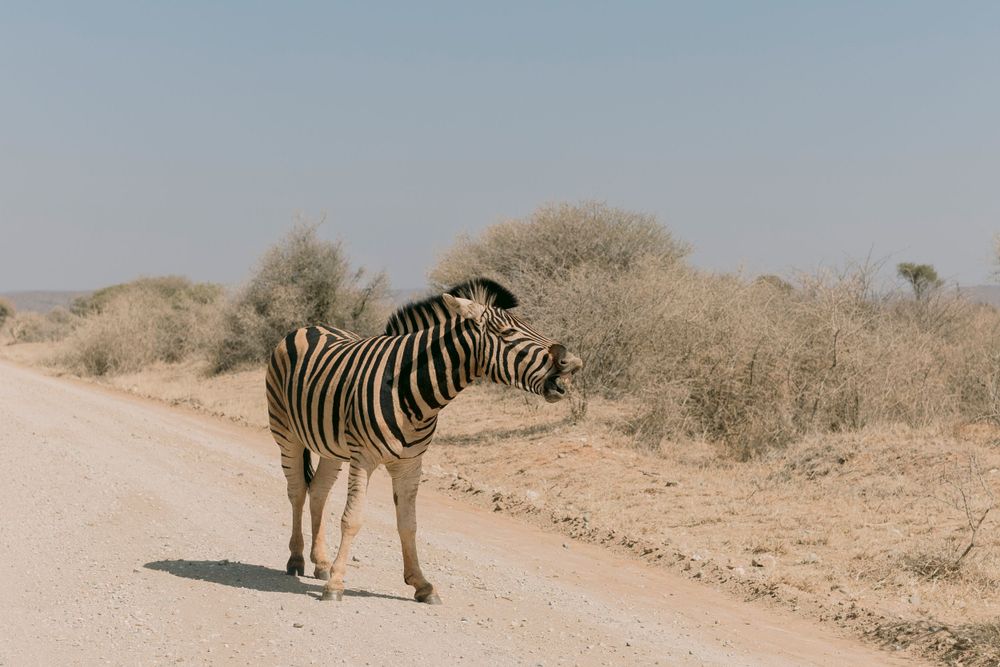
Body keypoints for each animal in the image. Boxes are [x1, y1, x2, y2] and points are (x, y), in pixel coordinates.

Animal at [265, 278, 583, 603]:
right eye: (507, 333)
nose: (572, 362)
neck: (408, 389)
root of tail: (311, 326)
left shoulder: (410, 463)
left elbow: (409, 524)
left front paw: (421, 584)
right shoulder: (363, 457)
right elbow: (352, 519)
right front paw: (336, 585)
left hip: (331, 447)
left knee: (317, 491)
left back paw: (321, 563)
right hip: (286, 432)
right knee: (297, 491)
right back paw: (296, 560)